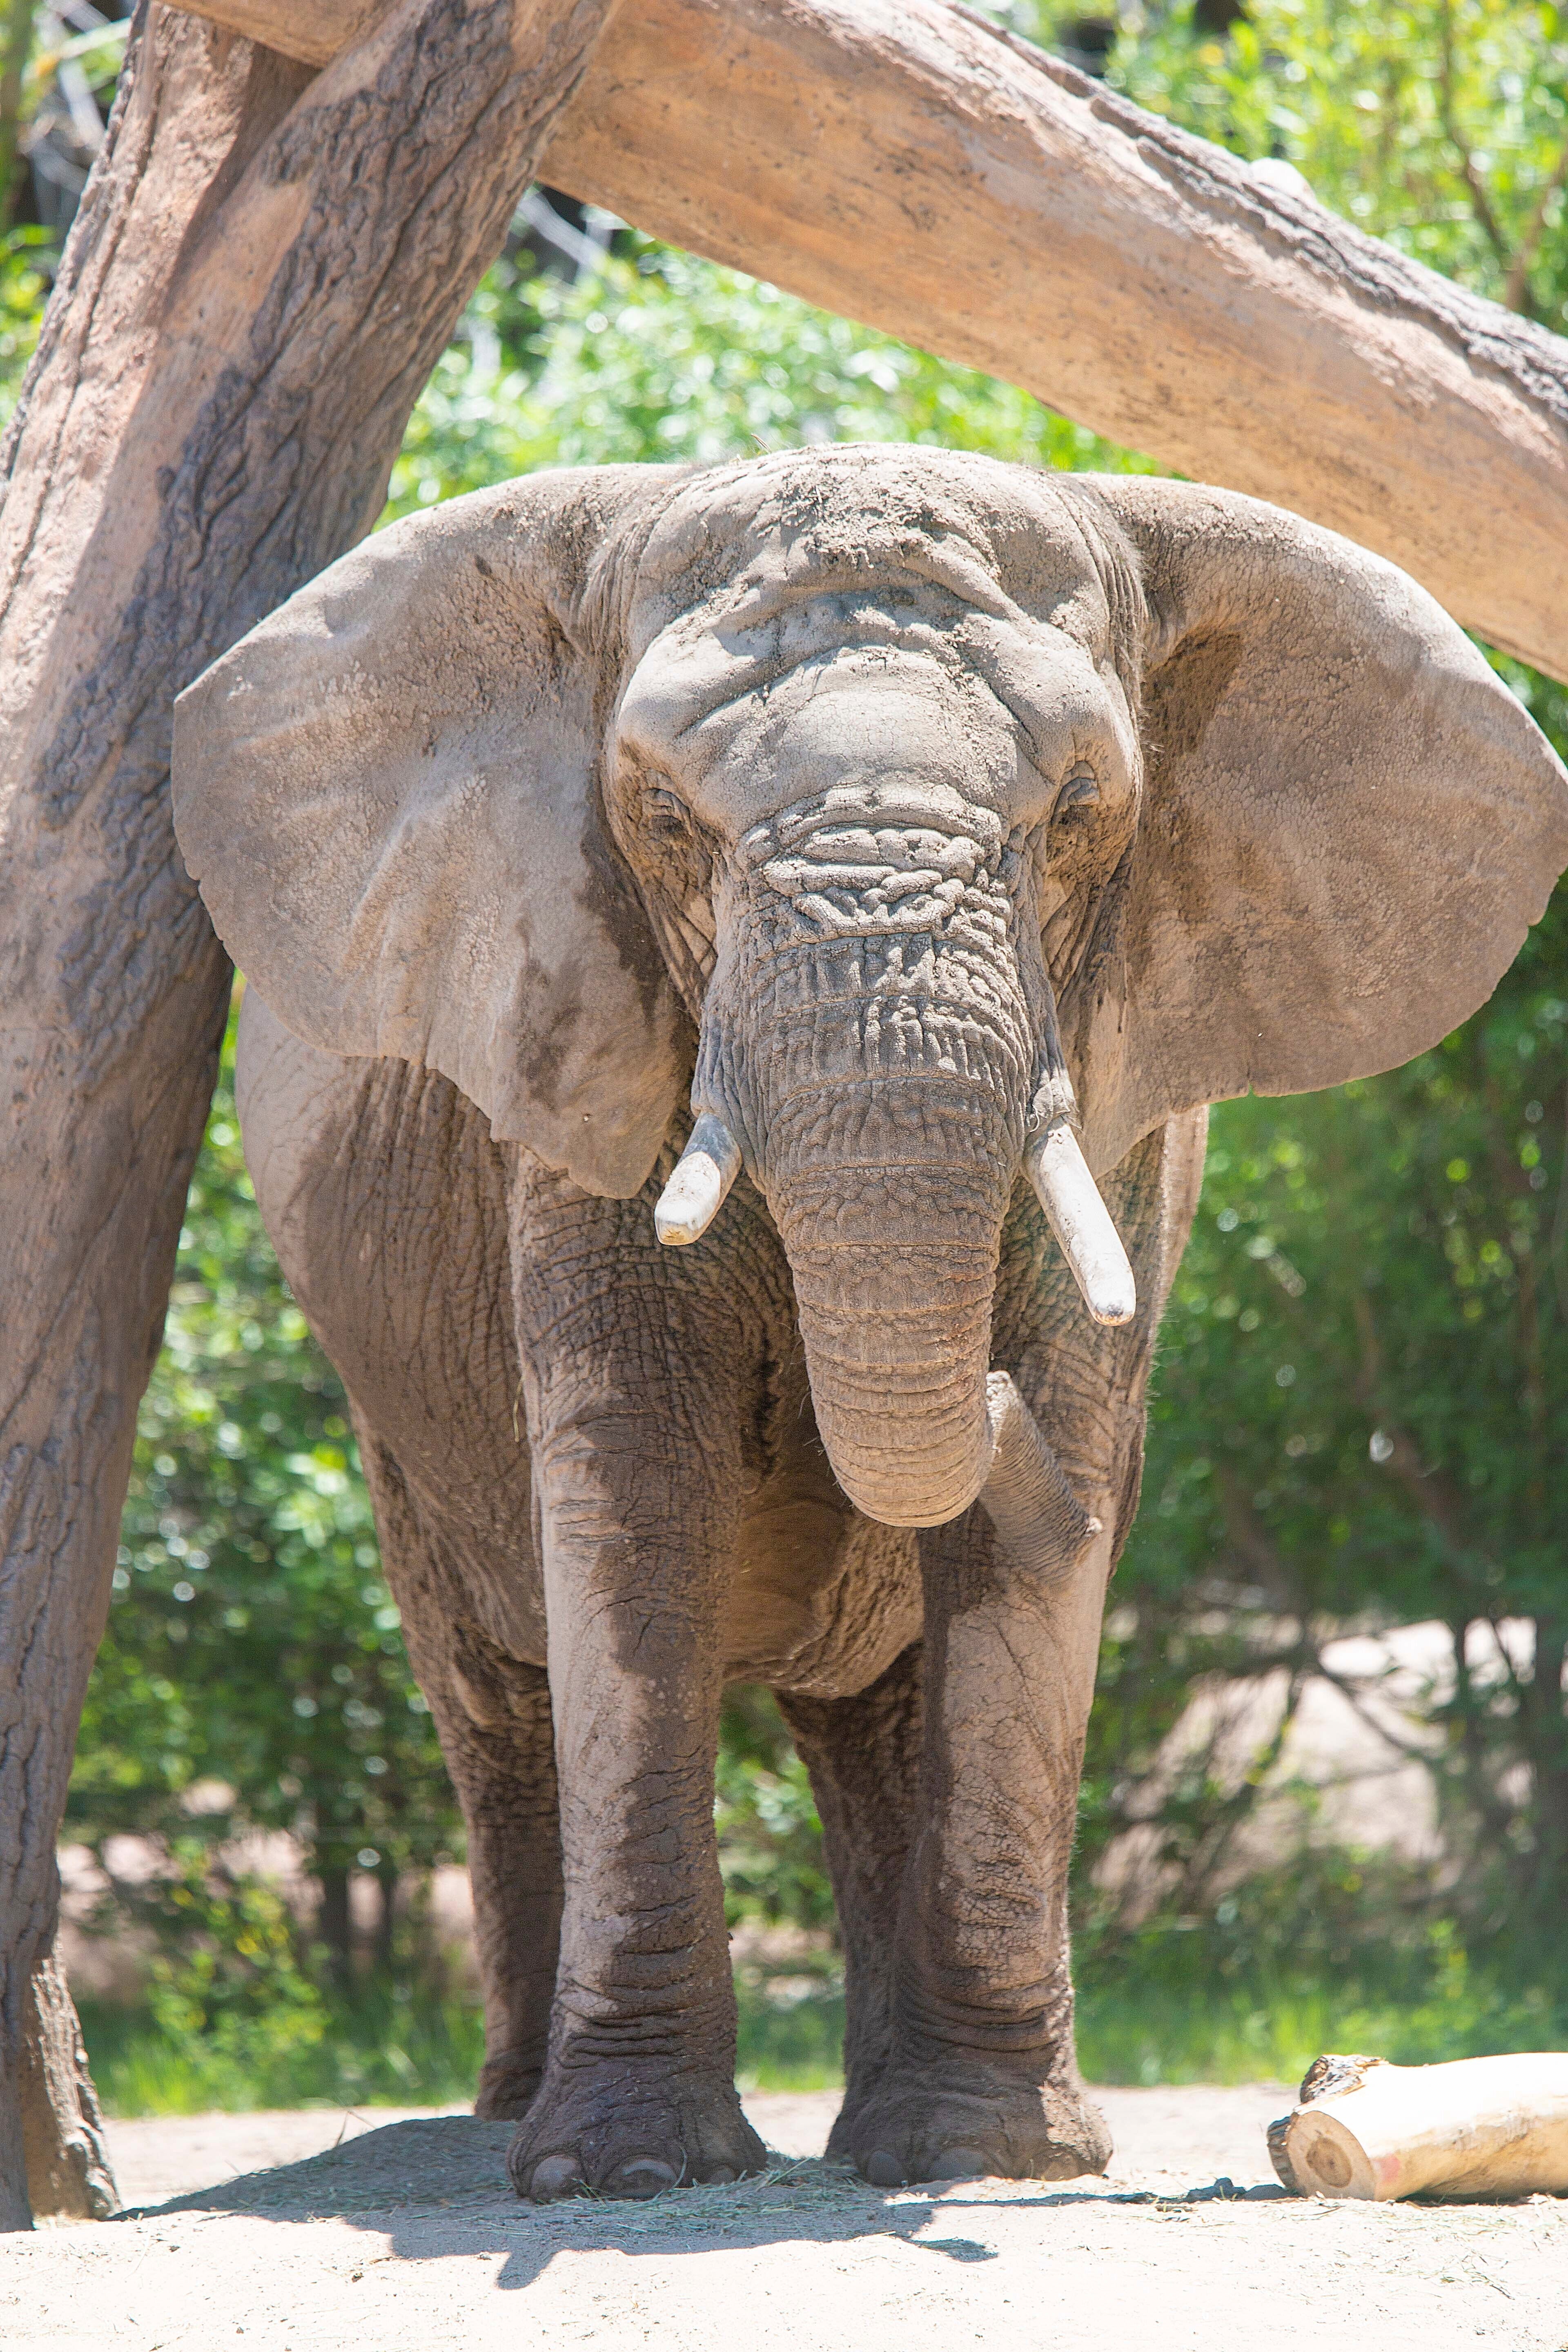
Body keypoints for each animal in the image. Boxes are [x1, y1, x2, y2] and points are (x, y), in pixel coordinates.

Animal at [172, 444, 1568, 2201]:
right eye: (661, 816)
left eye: (1081, 812)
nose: (978, 1392)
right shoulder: (576, 1047)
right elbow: (636, 1489)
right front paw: (622, 2175)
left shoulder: (1127, 1080)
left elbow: (1042, 1493)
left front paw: (992, 2158)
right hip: (395, 1424)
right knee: (497, 1695)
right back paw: (511, 2110)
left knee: (881, 1715)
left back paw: (889, 2129)